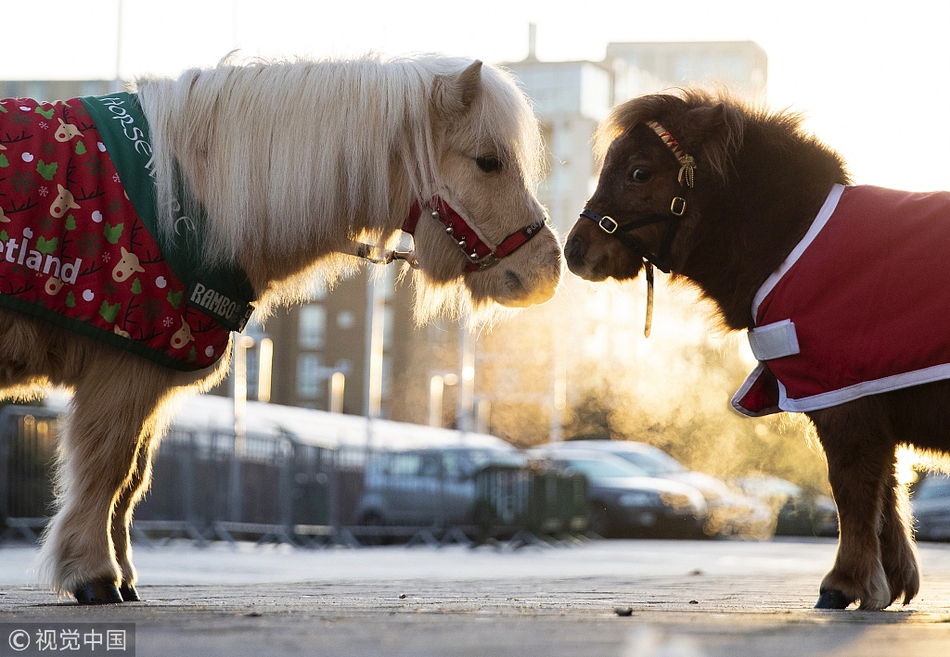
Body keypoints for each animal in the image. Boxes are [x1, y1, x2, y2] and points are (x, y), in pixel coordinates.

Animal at [0, 53, 560, 604]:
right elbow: (107, 470)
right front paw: (93, 573)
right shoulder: (123, 371)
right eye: (488, 161)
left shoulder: (143, 378)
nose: (548, 269)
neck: (187, 197)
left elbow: (132, 479)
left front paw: (122, 574)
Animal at [564, 88, 944, 608]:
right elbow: (884, 490)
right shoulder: (866, 401)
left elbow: (852, 489)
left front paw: (844, 582)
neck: (790, 238)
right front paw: (891, 579)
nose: (574, 250)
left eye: (638, 171)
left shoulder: (842, 401)